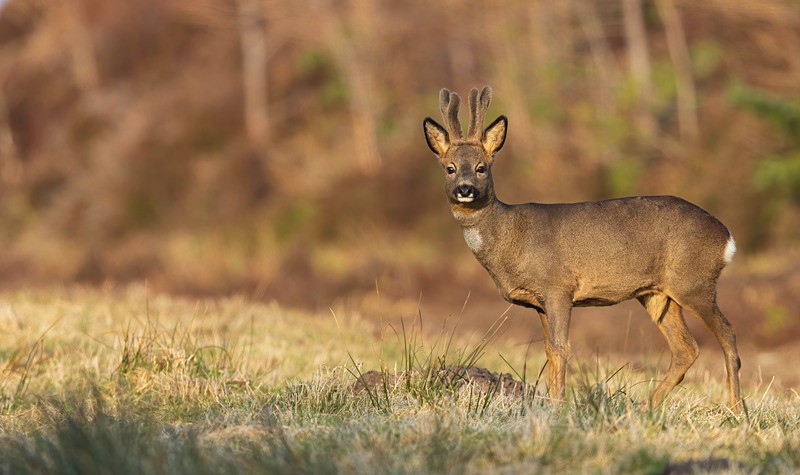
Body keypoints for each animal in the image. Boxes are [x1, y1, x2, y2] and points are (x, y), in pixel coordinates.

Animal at [423, 86, 742, 413]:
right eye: (449, 169)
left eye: (481, 168)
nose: (465, 189)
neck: (510, 235)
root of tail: (727, 237)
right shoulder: (539, 302)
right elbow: (549, 350)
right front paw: (552, 404)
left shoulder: (558, 286)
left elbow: (561, 348)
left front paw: (559, 407)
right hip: (657, 294)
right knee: (686, 348)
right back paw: (646, 407)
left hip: (694, 282)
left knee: (728, 334)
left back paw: (735, 410)